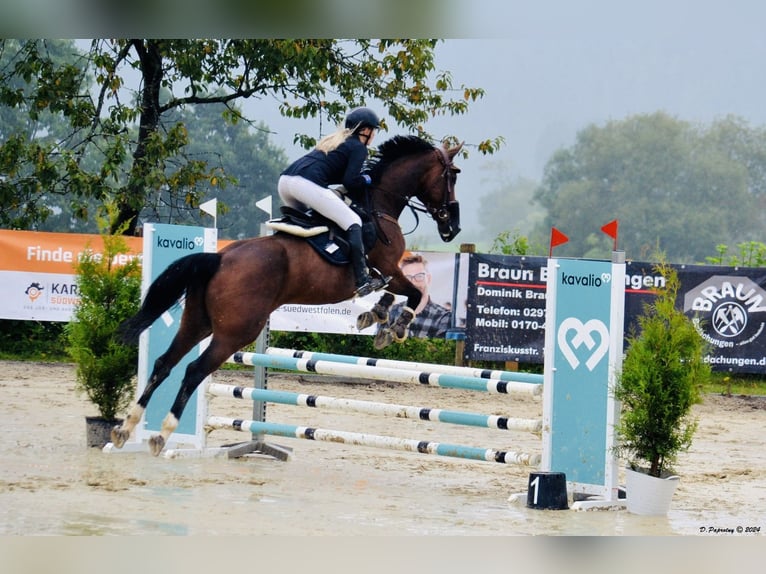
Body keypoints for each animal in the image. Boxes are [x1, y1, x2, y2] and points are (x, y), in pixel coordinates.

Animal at [111, 135, 464, 454]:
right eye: (452, 175)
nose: (453, 229)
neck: (378, 206)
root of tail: (219, 258)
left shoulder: (388, 272)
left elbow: (394, 295)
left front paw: (375, 317)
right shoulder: (388, 267)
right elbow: (413, 293)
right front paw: (396, 326)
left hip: (198, 322)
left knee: (164, 363)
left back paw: (126, 429)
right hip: (235, 332)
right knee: (194, 370)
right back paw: (161, 434)